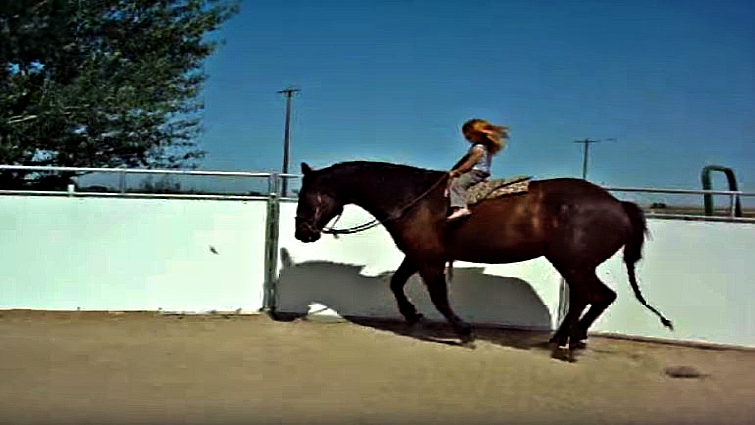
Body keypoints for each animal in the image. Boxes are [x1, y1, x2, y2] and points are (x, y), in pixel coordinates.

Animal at [293, 160, 673, 361]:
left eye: (307, 196)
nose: (302, 233)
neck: (413, 198)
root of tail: (618, 205)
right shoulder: (419, 255)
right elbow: (396, 283)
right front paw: (412, 315)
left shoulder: (429, 260)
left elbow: (439, 298)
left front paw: (464, 332)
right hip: (571, 264)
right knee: (590, 297)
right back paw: (563, 339)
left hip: (575, 264)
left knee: (596, 296)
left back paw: (570, 342)